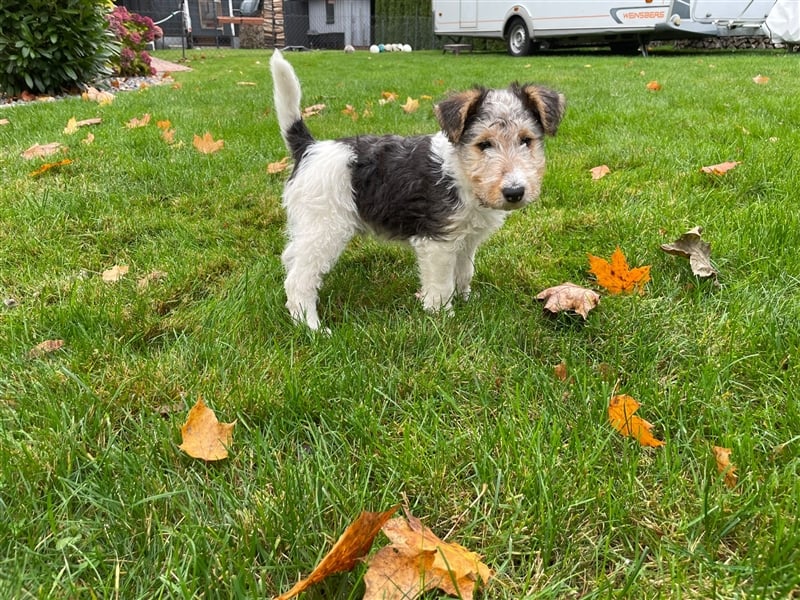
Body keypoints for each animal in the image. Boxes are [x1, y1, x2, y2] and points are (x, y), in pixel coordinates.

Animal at [268, 50, 564, 332]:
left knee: (291, 258)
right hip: (325, 228)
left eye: (526, 140)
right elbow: (441, 285)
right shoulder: (437, 241)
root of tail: (309, 148)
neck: (461, 172)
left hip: (309, 228)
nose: (515, 192)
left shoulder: (466, 240)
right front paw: (442, 317)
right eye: (484, 144)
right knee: (298, 281)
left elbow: (464, 272)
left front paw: (466, 300)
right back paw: (311, 326)